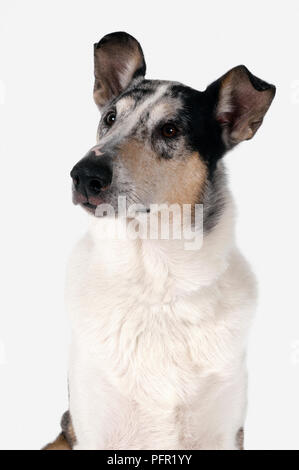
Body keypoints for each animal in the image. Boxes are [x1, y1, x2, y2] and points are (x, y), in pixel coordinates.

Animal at [43, 31, 276, 450]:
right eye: (110, 118)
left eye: (170, 130)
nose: (84, 174)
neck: (155, 280)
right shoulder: (94, 429)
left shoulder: (225, 431)